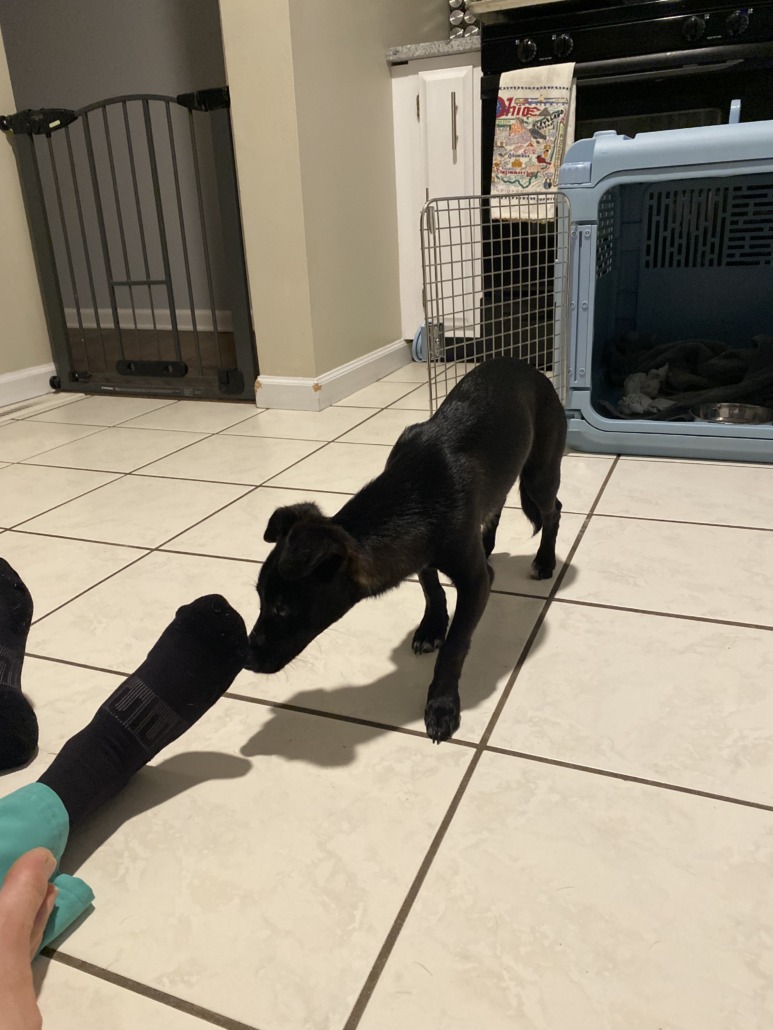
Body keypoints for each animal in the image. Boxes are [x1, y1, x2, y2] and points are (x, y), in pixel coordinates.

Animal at [245, 358, 566, 743]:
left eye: (281, 608)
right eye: (260, 598)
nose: (245, 660)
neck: (414, 496)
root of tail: (528, 367)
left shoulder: (474, 582)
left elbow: (455, 646)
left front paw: (442, 705)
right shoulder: (420, 554)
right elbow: (432, 590)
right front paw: (432, 628)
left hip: (539, 474)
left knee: (553, 510)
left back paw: (545, 561)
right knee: (496, 508)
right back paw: (489, 547)